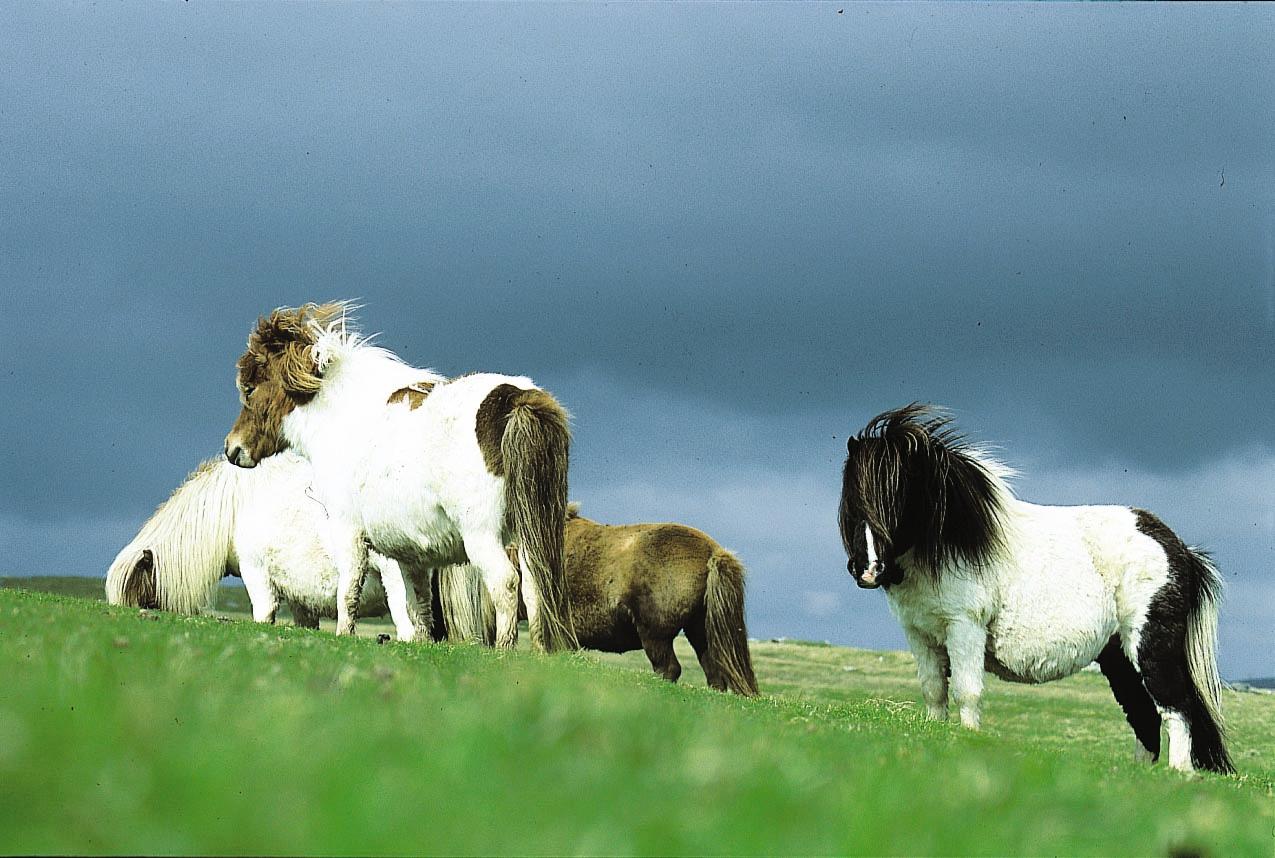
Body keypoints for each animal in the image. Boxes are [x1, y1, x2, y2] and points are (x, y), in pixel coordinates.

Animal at [221, 300, 576, 650]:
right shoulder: (410, 555)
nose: (232, 448)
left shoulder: (347, 530)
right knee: (535, 587)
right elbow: (416, 608)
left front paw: (344, 634)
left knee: (506, 583)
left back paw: (504, 650)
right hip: (528, 532)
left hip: (482, 534)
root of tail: (517, 398)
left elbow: (348, 591)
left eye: (250, 389)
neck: (342, 418)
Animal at [836, 405, 1234, 775]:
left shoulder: (965, 628)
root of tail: (1177, 548)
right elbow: (934, 691)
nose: (869, 570)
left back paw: (1179, 772)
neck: (955, 542)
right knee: (1144, 714)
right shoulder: (920, 634)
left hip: (1149, 645)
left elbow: (967, 691)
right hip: (1117, 656)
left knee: (1175, 707)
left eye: (899, 497)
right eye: (853, 500)